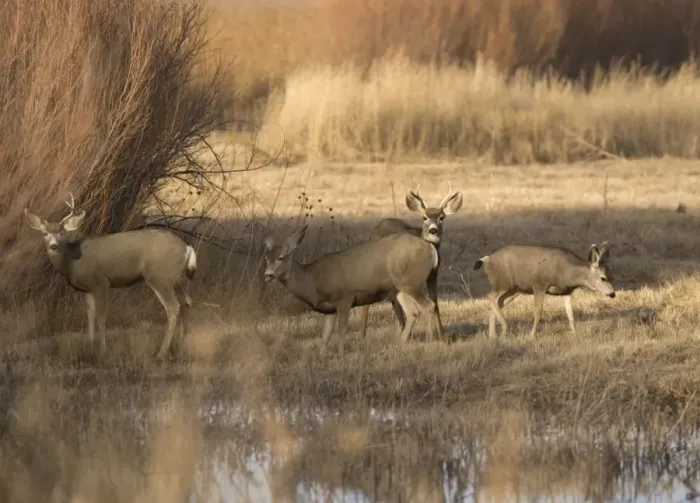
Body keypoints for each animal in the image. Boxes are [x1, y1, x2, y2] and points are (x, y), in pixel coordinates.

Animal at [23, 194, 197, 360]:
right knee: (187, 302)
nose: (53, 246)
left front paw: (102, 351)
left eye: (62, 233)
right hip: (176, 279)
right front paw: (89, 346)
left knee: (173, 307)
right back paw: (183, 346)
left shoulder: (101, 282)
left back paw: (161, 353)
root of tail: (187, 248)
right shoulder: (88, 289)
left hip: (159, 276)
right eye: (45, 233)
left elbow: (101, 316)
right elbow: (90, 316)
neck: (73, 262)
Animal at [263, 224, 444, 349]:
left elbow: (342, 331)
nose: (268, 275)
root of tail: (431, 248)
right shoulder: (330, 309)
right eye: (266, 258)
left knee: (429, 306)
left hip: (412, 282)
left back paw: (429, 342)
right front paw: (323, 355)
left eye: (281, 257)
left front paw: (340, 354)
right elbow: (325, 336)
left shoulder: (344, 297)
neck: (312, 280)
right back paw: (398, 343)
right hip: (400, 286)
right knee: (413, 312)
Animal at [358, 183, 463, 341]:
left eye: (441, 217)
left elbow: (435, 303)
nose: (433, 230)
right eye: (424, 217)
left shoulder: (433, 276)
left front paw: (443, 339)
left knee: (399, 302)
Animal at [473, 243, 615, 338]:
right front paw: (532, 335)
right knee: (491, 297)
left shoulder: (566, 291)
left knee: (498, 302)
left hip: (514, 289)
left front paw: (575, 333)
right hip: (502, 283)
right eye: (603, 278)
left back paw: (493, 336)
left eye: (611, 275)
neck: (566, 272)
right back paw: (504, 328)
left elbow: (570, 312)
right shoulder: (539, 284)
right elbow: (538, 311)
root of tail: (487, 259)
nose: (612, 294)